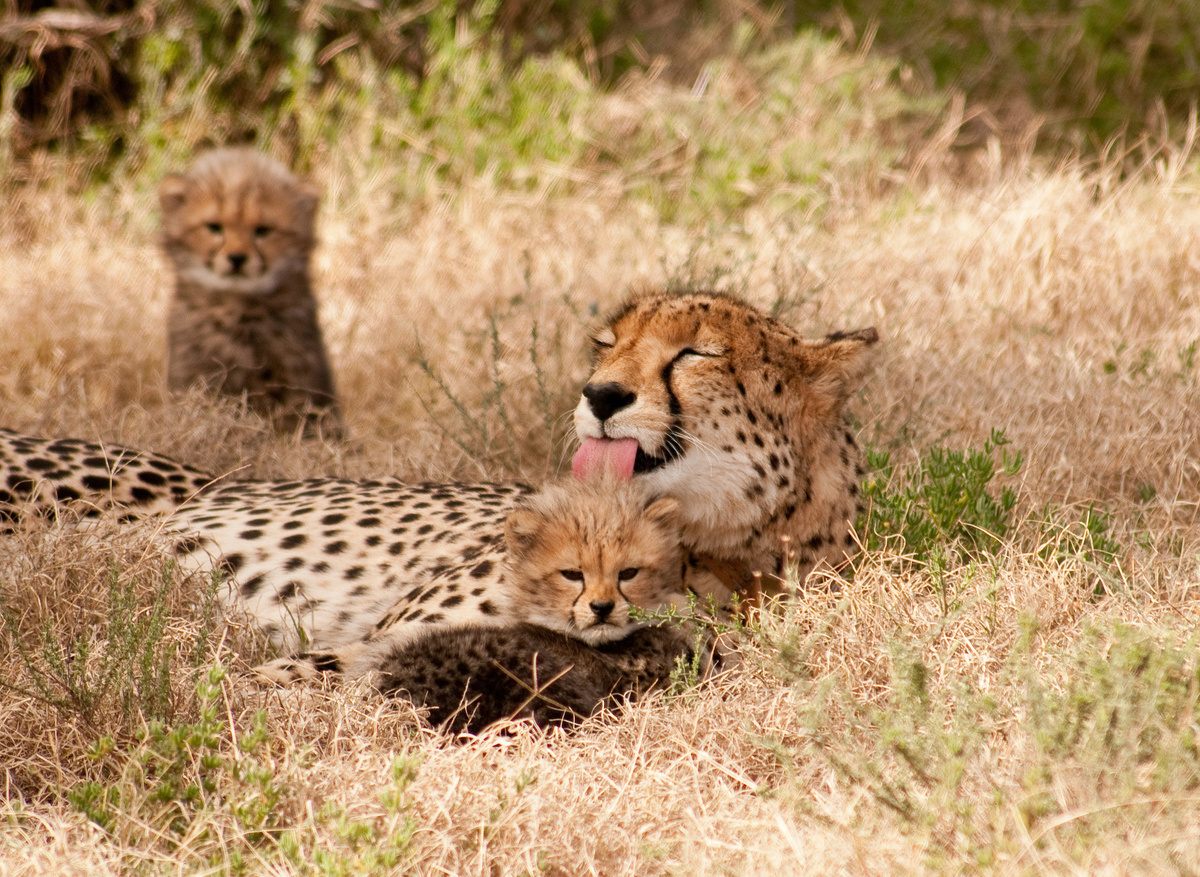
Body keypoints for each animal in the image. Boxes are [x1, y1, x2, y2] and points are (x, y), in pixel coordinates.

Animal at [159, 147, 342, 436]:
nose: (236, 258)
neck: (238, 310)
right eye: (214, 227)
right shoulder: (194, 375)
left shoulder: (297, 377)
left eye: (263, 230)